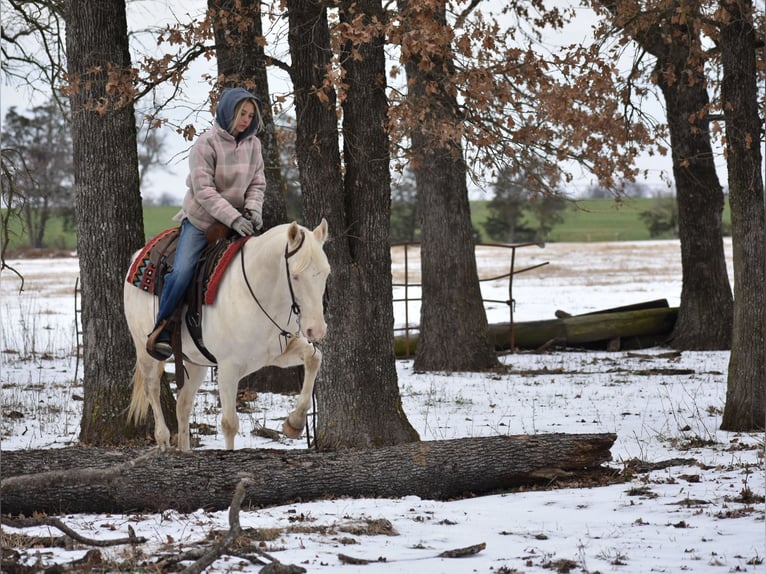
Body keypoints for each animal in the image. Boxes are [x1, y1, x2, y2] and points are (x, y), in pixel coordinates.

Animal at [123, 219, 330, 451]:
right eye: (295, 276)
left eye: (326, 273)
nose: (316, 330)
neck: (259, 293)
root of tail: (138, 255)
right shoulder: (228, 368)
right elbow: (230, 423)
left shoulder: (277, 354)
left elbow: (314, 358)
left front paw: (294, 423)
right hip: (145, 352)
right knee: (152, 390)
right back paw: (163, 439)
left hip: (196, 362)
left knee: (183, 405)